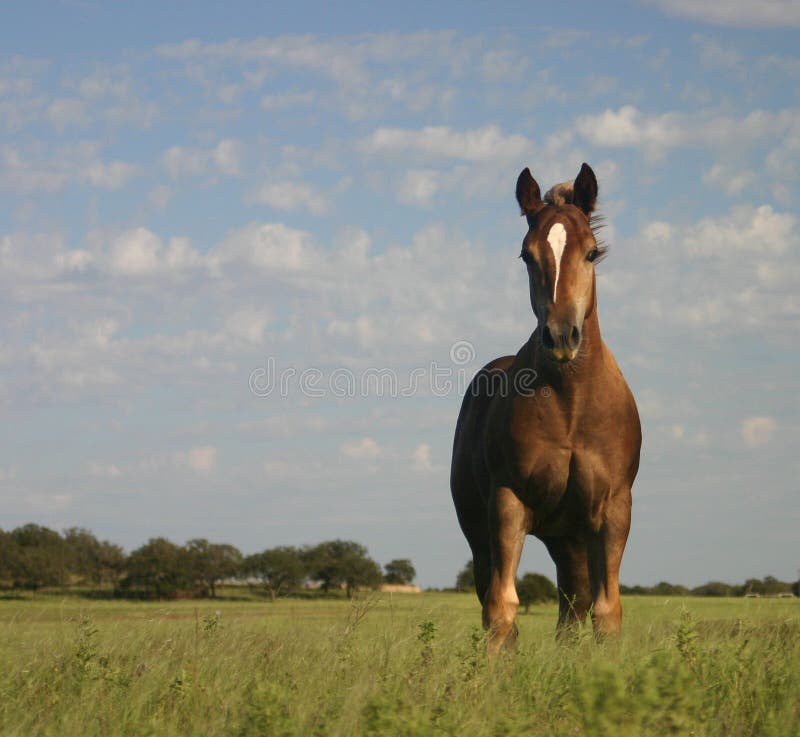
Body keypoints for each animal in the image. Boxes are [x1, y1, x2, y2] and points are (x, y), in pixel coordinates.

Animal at [454, 162, 640, 648]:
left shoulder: (613, 509)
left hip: (569, 538)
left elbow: (606, 613)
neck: (571, 407)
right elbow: (502, 609)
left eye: (592, 253)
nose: (560, 337)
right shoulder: (508, 504)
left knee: (573, 608)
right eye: (526, 255)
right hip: (484, 534)